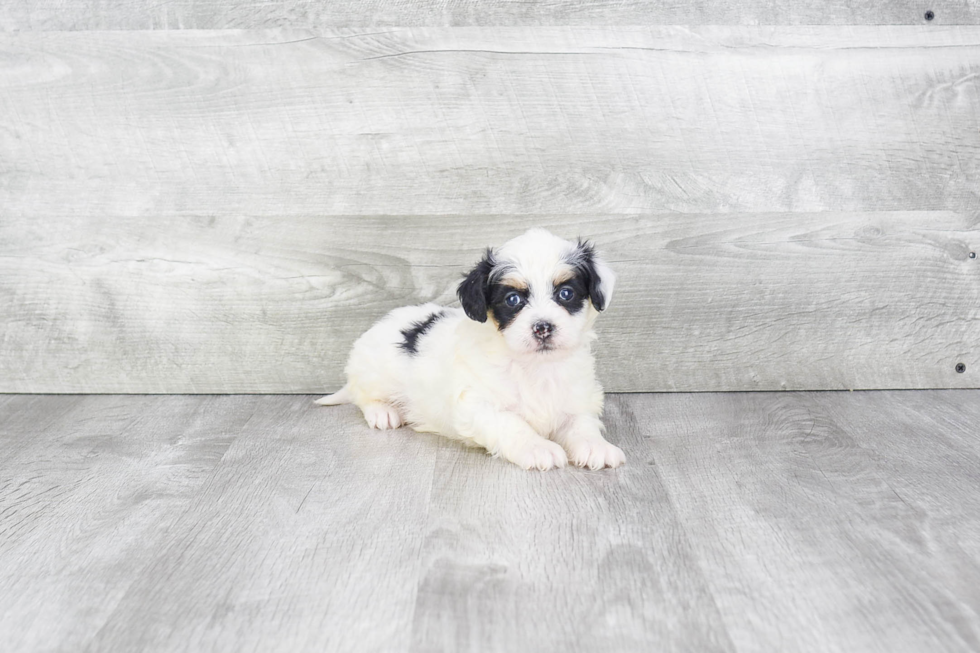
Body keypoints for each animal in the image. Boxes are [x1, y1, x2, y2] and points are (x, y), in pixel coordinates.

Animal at [318, 228, 624, 468]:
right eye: (512, 299)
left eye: (566, 294)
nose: (543, 327)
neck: (534, 367)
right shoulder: (479, 406)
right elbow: (512, 424)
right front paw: (538, 448)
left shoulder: (576, 398)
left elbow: (581, 423)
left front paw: (596, 446)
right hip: (374, 372)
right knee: (362, 394)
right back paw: (383, 412)